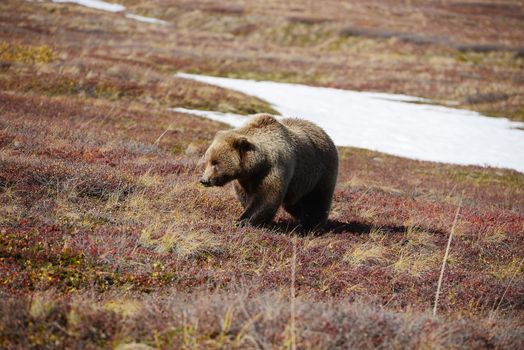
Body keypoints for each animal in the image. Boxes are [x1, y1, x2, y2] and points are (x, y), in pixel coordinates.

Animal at [199, 115, 338, 228]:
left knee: (317, 200)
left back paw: (313, 225)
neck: (258, 165)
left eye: (216, 163)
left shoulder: (274, 169)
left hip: (319, 173)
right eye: (208, 160)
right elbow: (246, 197)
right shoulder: (245, 179)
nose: (204, 180)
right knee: (294, 203)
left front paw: (243, 220)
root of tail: (324, 132)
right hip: (298, 184)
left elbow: (266, 198)